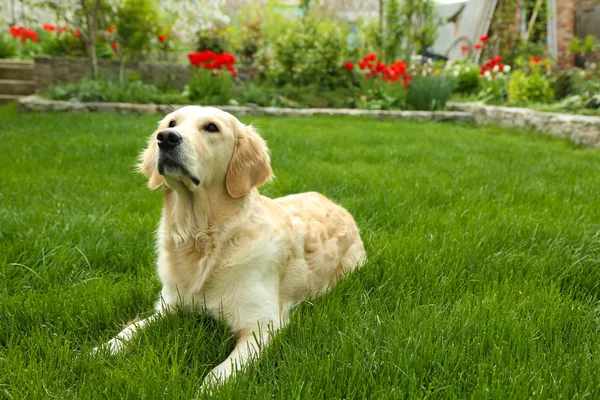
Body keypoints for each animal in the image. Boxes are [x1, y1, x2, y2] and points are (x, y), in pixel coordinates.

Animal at [95, 104, 366, 386]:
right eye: (171, 122)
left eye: (211, 127)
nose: (166, 138)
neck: (203, 238)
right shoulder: (168, 305)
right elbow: (131, 329)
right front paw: (101, 350)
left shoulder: (262, 325)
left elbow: (219, 374)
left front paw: (204, 389)